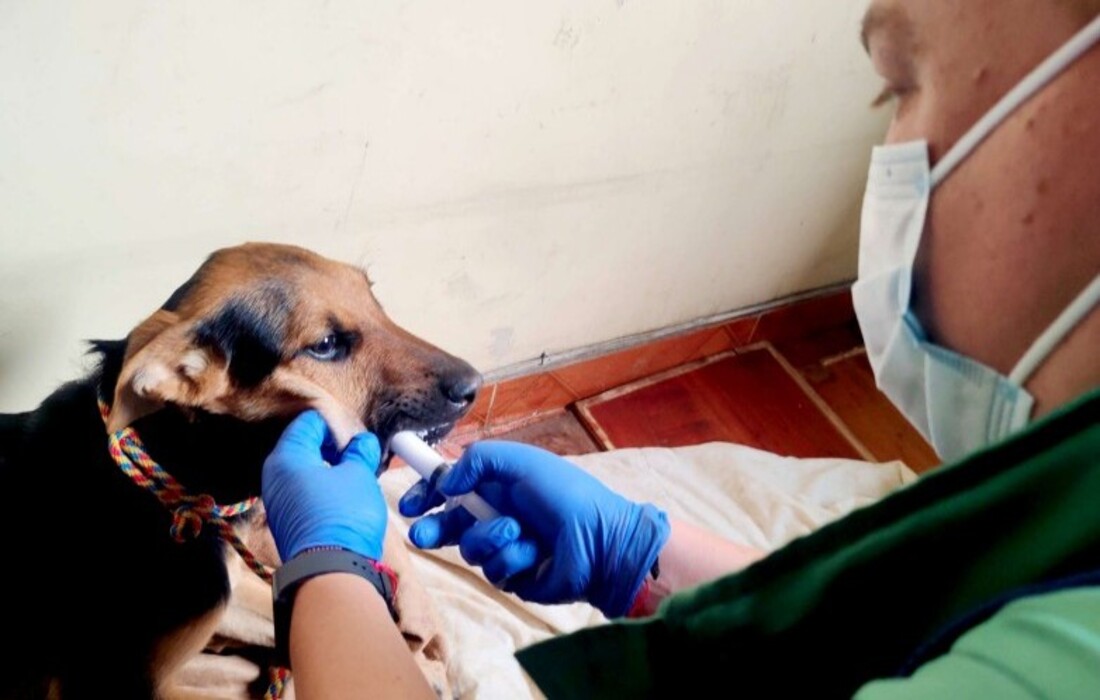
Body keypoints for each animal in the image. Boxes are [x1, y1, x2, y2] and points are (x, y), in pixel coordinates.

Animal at [0, 242, 481, 698]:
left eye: (374, 299)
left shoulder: (228, 593)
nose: (472, 388)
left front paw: (418, 668)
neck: (182, 464)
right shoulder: (116, 683)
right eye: (325, 345)